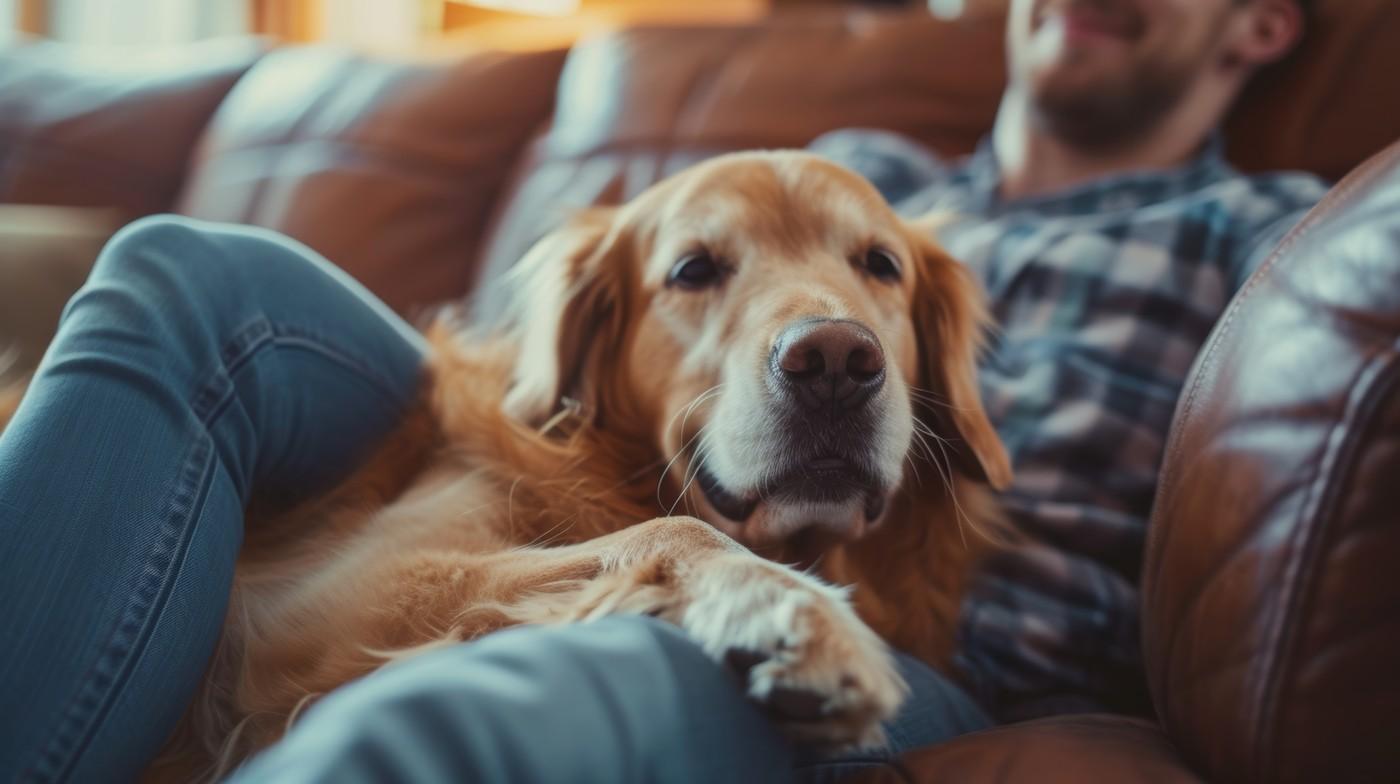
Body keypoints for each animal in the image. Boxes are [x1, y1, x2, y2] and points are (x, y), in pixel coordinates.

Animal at [0, 149, 1008, 778]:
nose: (834, 360)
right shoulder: (309, 605)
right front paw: (787, 612)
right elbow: (670, 526)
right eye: (693, 270)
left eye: (880, 264)